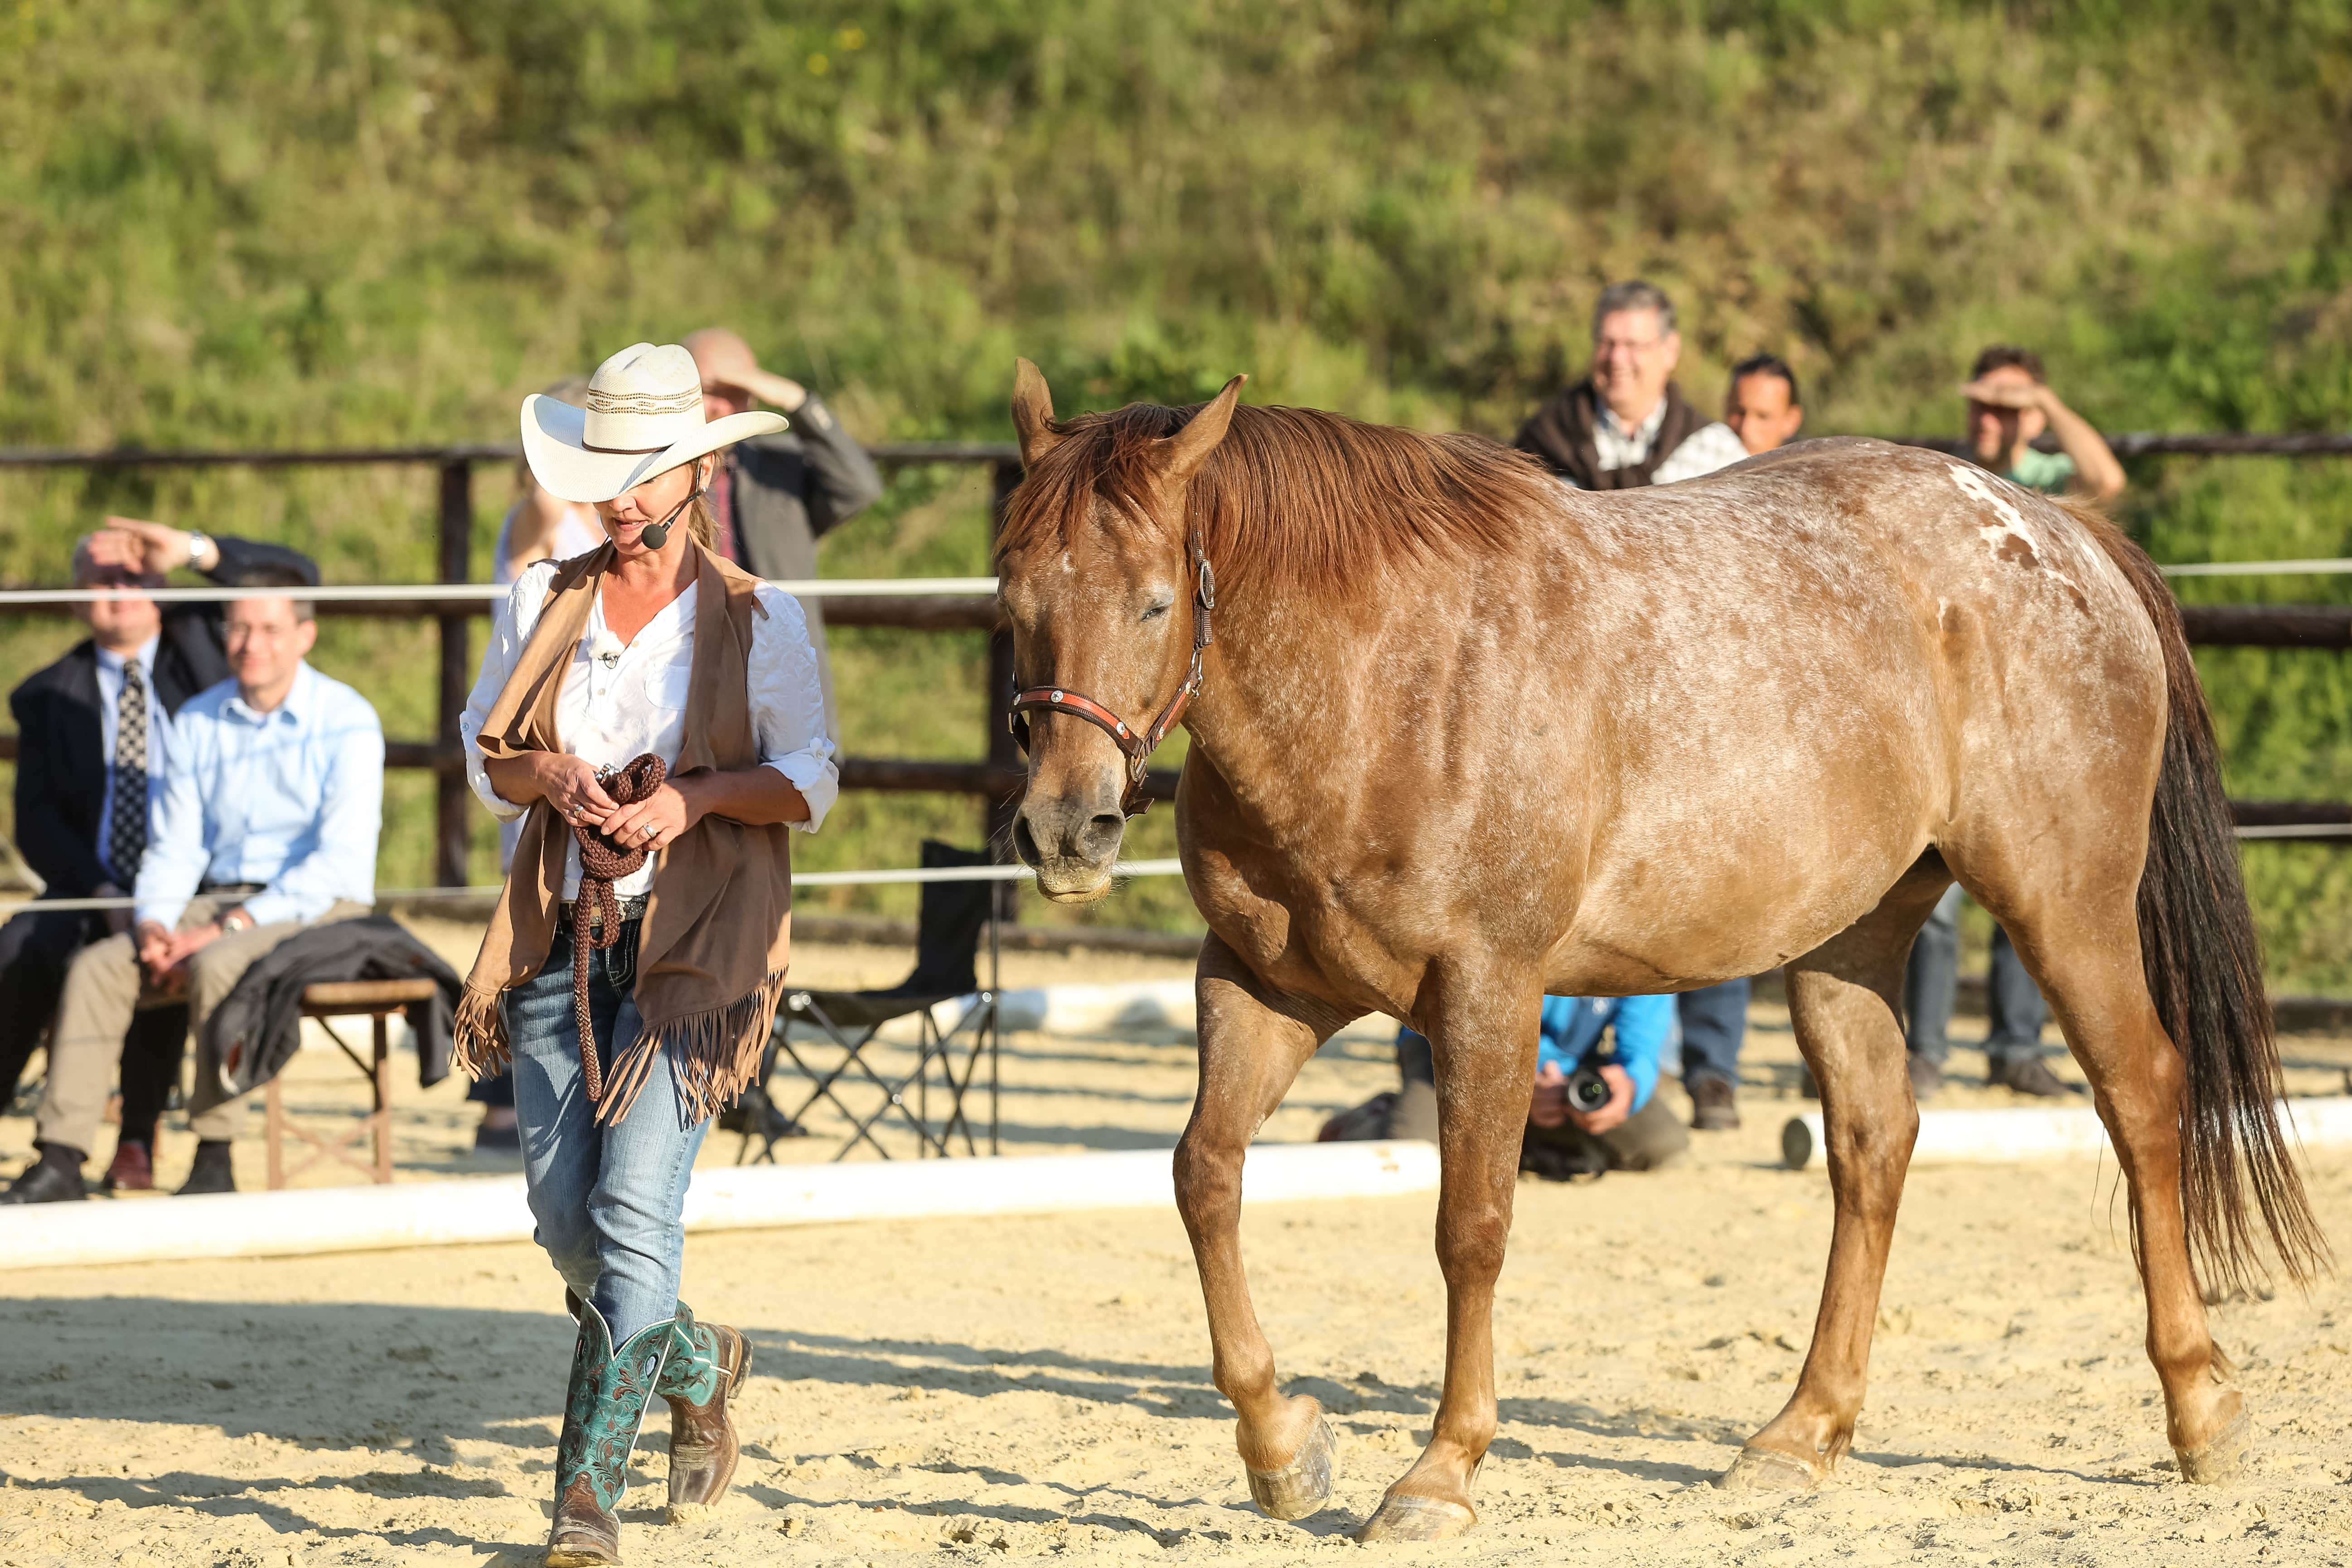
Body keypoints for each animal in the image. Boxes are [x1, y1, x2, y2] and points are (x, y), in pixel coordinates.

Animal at [992, 359, 2333, 1542]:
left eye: (1153, 600)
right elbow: (1204, 1177)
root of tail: (2062, 533)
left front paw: (1438, 1475)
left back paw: (2201, 1408)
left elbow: (1469, 1226)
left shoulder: (1485, 990)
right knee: (1872, 1141)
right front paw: (1281, 1446)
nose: (1065, 828)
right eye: (1011, 597)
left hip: (2063, 904)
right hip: (1846, 940)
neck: (1382, 681)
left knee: (2141, 1098)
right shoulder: (1264, 987)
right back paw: (1801, 1431)